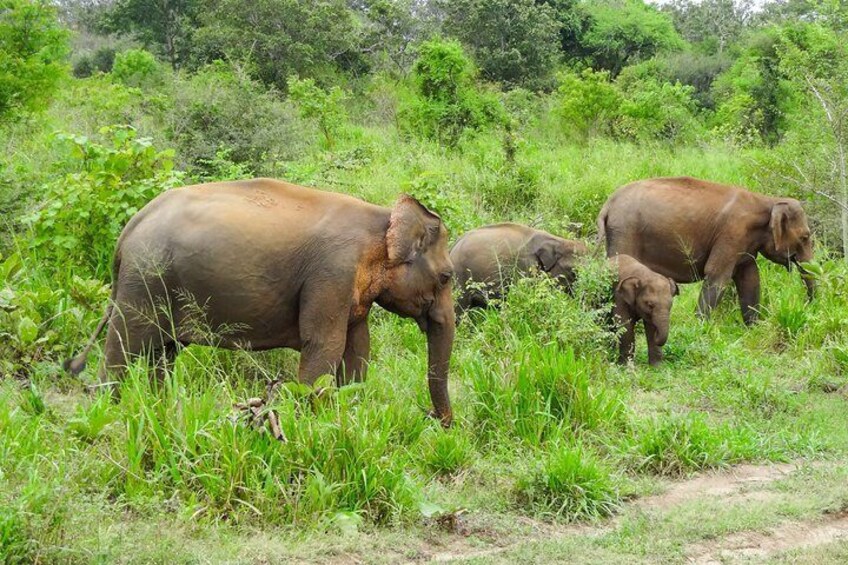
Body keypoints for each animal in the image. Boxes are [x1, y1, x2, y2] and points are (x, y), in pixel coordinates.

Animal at [65, 178, 458, 426]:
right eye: (446, 277)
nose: (434, 419)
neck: (382, 219)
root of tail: (130, 227)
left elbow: (358, 348)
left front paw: (351, 414)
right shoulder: (332, 273)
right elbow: (324, 347)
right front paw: (313, 427)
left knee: (162, 353)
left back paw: (159, 407)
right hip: (144, 281)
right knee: (124, 348)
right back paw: (111, 413)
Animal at [596, 176, 816, 326]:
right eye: (805, 237)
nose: (808, 306)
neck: (768, 201)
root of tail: (607, 205)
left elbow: (750, 279)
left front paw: (754, 328)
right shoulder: (732, 233)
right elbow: (717, 277)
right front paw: (699, 327)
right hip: (625, 232)